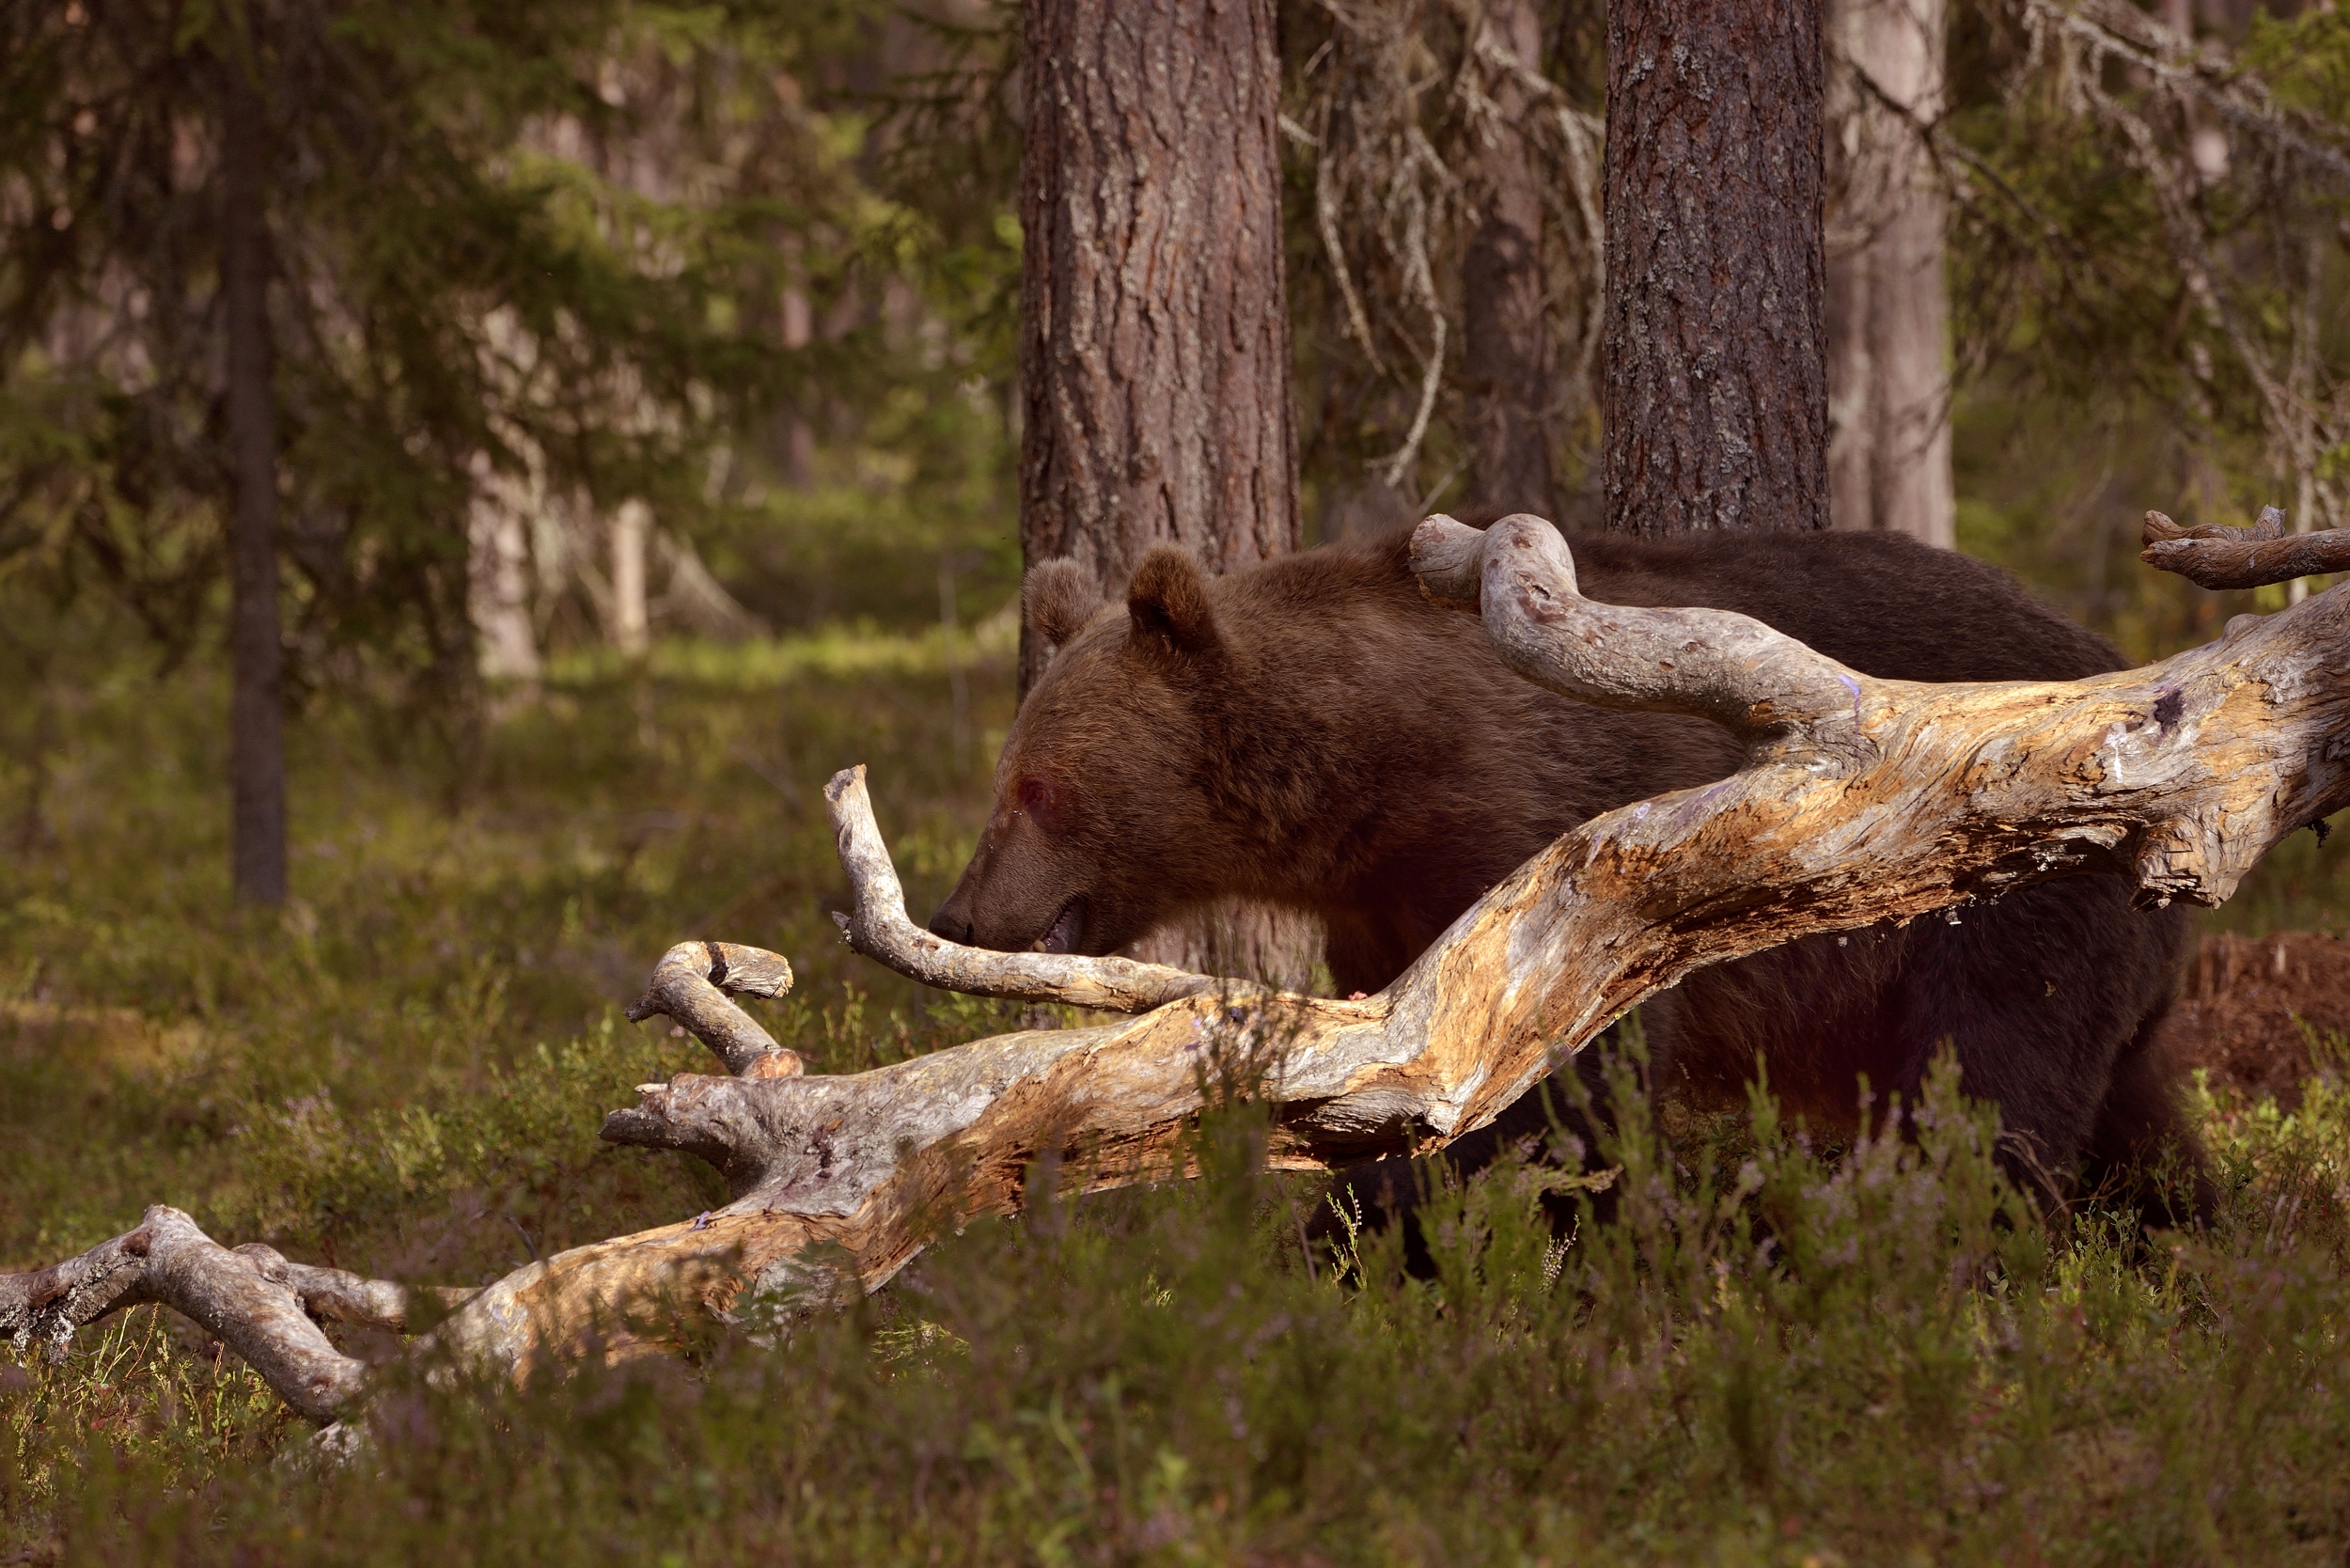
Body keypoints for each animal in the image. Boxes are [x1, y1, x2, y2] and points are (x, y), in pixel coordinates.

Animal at [926, 522, 2209, 1222]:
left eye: (1033, 785)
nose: (965, 909)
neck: (1372, 772)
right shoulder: (1384, 909)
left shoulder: (1538, 854)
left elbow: (1548, 1094)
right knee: (2128, 1104)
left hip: (2006, 896)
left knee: (1990, 1086)